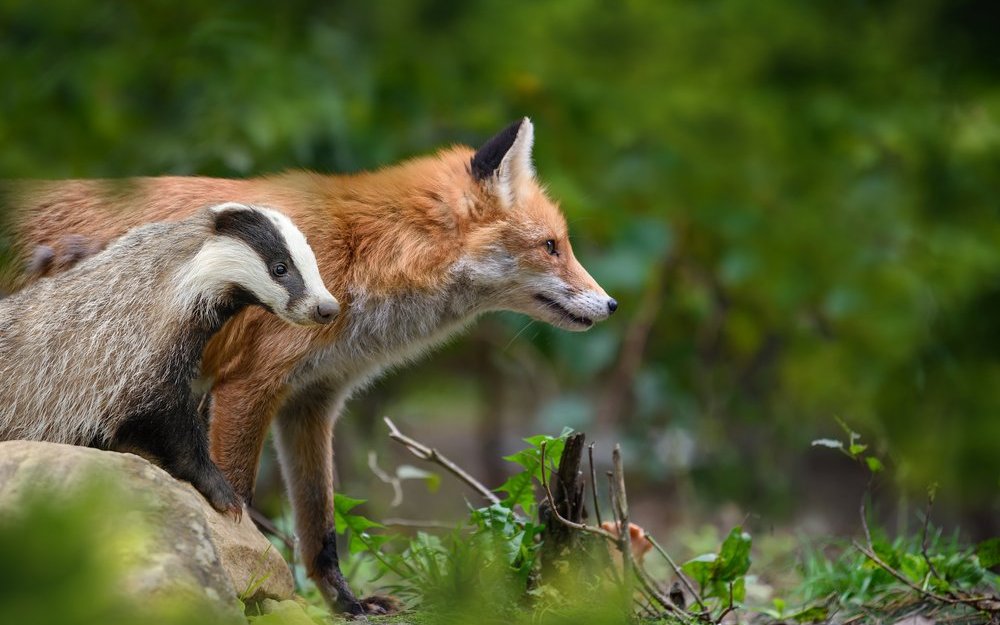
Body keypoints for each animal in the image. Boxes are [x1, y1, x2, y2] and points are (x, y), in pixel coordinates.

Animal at [1, 118, 616, 616]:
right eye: (552, 246)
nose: (611, 305)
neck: (361, 253)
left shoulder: (313, 401)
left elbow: (320, 529)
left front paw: (346, 605)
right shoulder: (247, 386)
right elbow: (238, 499)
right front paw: (249, 591)